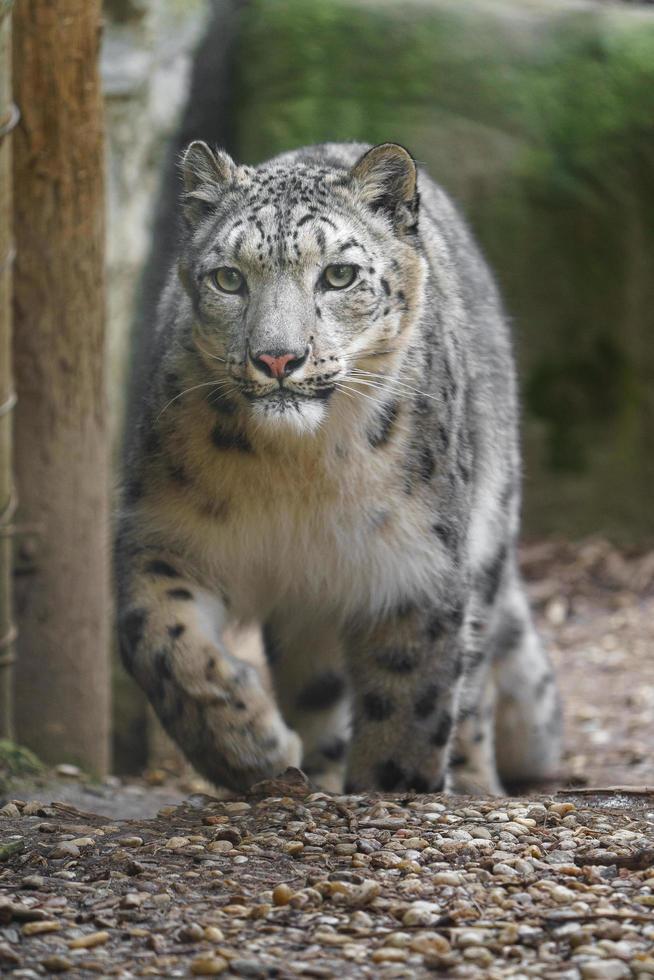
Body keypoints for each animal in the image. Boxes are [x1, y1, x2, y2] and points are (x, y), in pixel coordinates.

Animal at [116, 140, 564, 796]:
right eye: (228, 278)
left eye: (339, 275)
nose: (277, 358)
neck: (296, 471)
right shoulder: (166, 535)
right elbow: (158, 640)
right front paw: (252, 749)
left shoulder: (414, 565)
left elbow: (410, 703)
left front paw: (395, 788)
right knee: (315, 687)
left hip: (486, 539)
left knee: (474, 687)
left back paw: (474, 782)